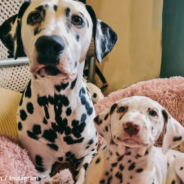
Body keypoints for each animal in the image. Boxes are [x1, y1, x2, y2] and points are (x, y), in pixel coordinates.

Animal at [0, 0, 117, 183]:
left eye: (77, 19)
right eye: (35, 16)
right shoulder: (40, 166)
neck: (58, 104)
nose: (49, 44)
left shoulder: (87, 154)